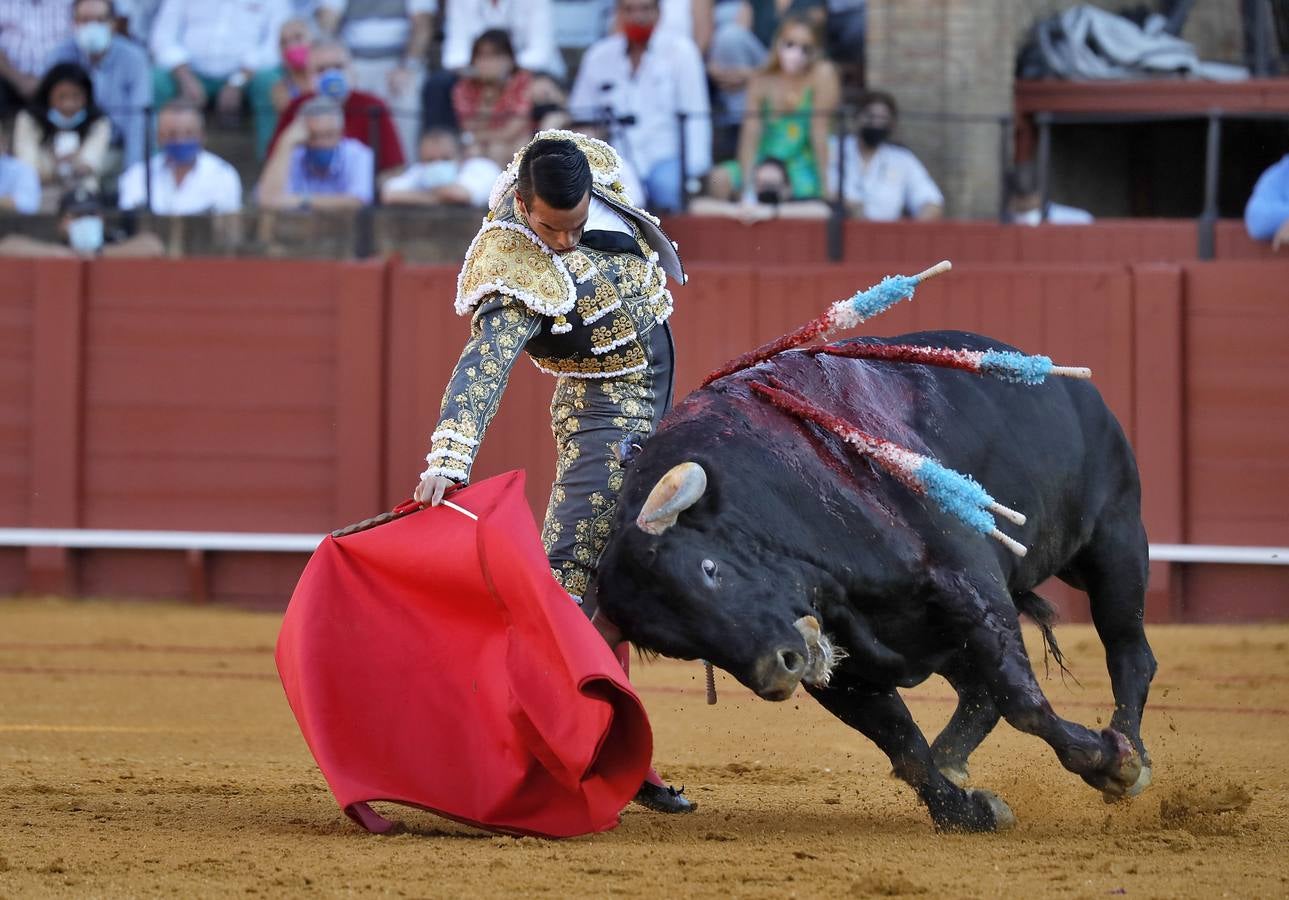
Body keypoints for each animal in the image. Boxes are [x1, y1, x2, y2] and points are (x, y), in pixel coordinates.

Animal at [590, 330, 1160, 835]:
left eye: (710, 570)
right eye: (681, 646)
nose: (778, 670)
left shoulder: (970, 587)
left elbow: (1023, 701)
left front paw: (1112, 765)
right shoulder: (847, 671)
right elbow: (905, 749)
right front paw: (969, 813)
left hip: (1115, 540)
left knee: (1129, 652)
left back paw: (1132, 750)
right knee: (976, 695)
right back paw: (953, 758)